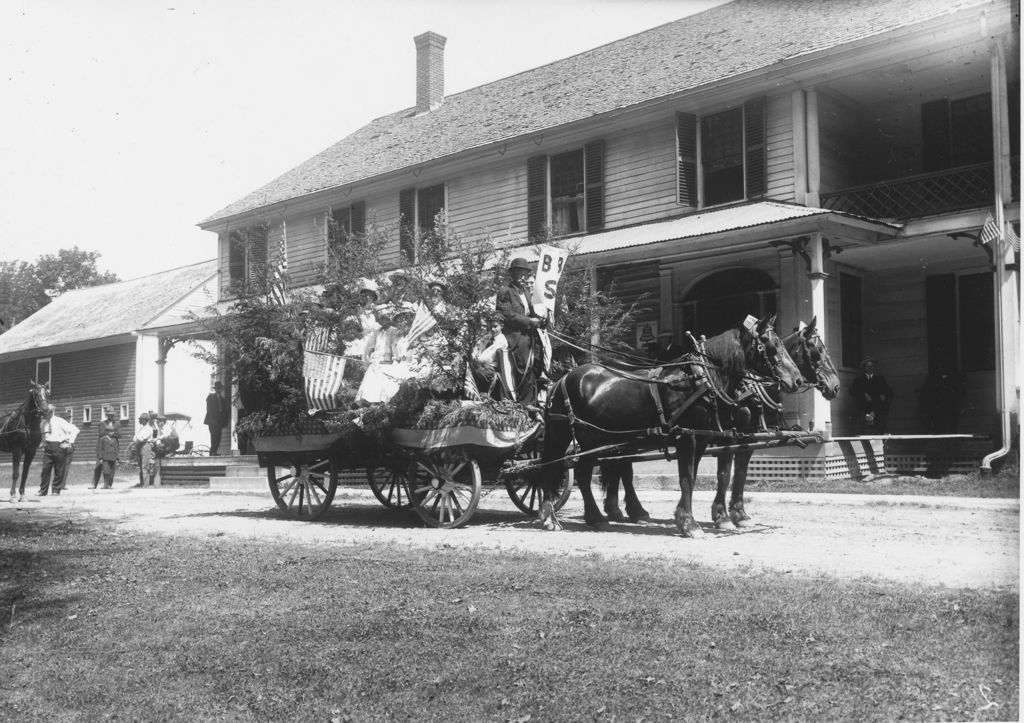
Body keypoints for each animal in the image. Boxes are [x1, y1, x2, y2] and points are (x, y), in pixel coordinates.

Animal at [540, 315, 802, 536]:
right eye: (769, 344)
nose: (797, 379)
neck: (699, 379)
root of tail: (561, 380)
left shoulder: (702, 439)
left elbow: (694, 477)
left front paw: (688, 518)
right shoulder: (688, 437)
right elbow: (687, 479)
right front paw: (690, 524)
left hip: (600, 440)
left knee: (587, 473)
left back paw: (596, 517)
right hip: (568, 436)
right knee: (556, 469)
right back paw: (553, 516)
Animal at [712, 317, 839, 528]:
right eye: (817, 350)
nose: (835, 386)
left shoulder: (749, 439)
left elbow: (741, 473)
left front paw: (739, 514)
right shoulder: (728, 438)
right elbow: (725, 474)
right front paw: (721, 516)